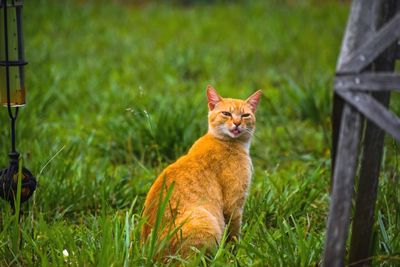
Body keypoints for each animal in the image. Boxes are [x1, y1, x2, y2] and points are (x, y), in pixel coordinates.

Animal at [141, 85, 262, 258]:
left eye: (245, 115)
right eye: (226, 113)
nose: (237, 123)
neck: (227, 143)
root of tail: (149, 255)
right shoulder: (233, 206)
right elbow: (234, 235)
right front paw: (237, 254)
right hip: (204, 220)